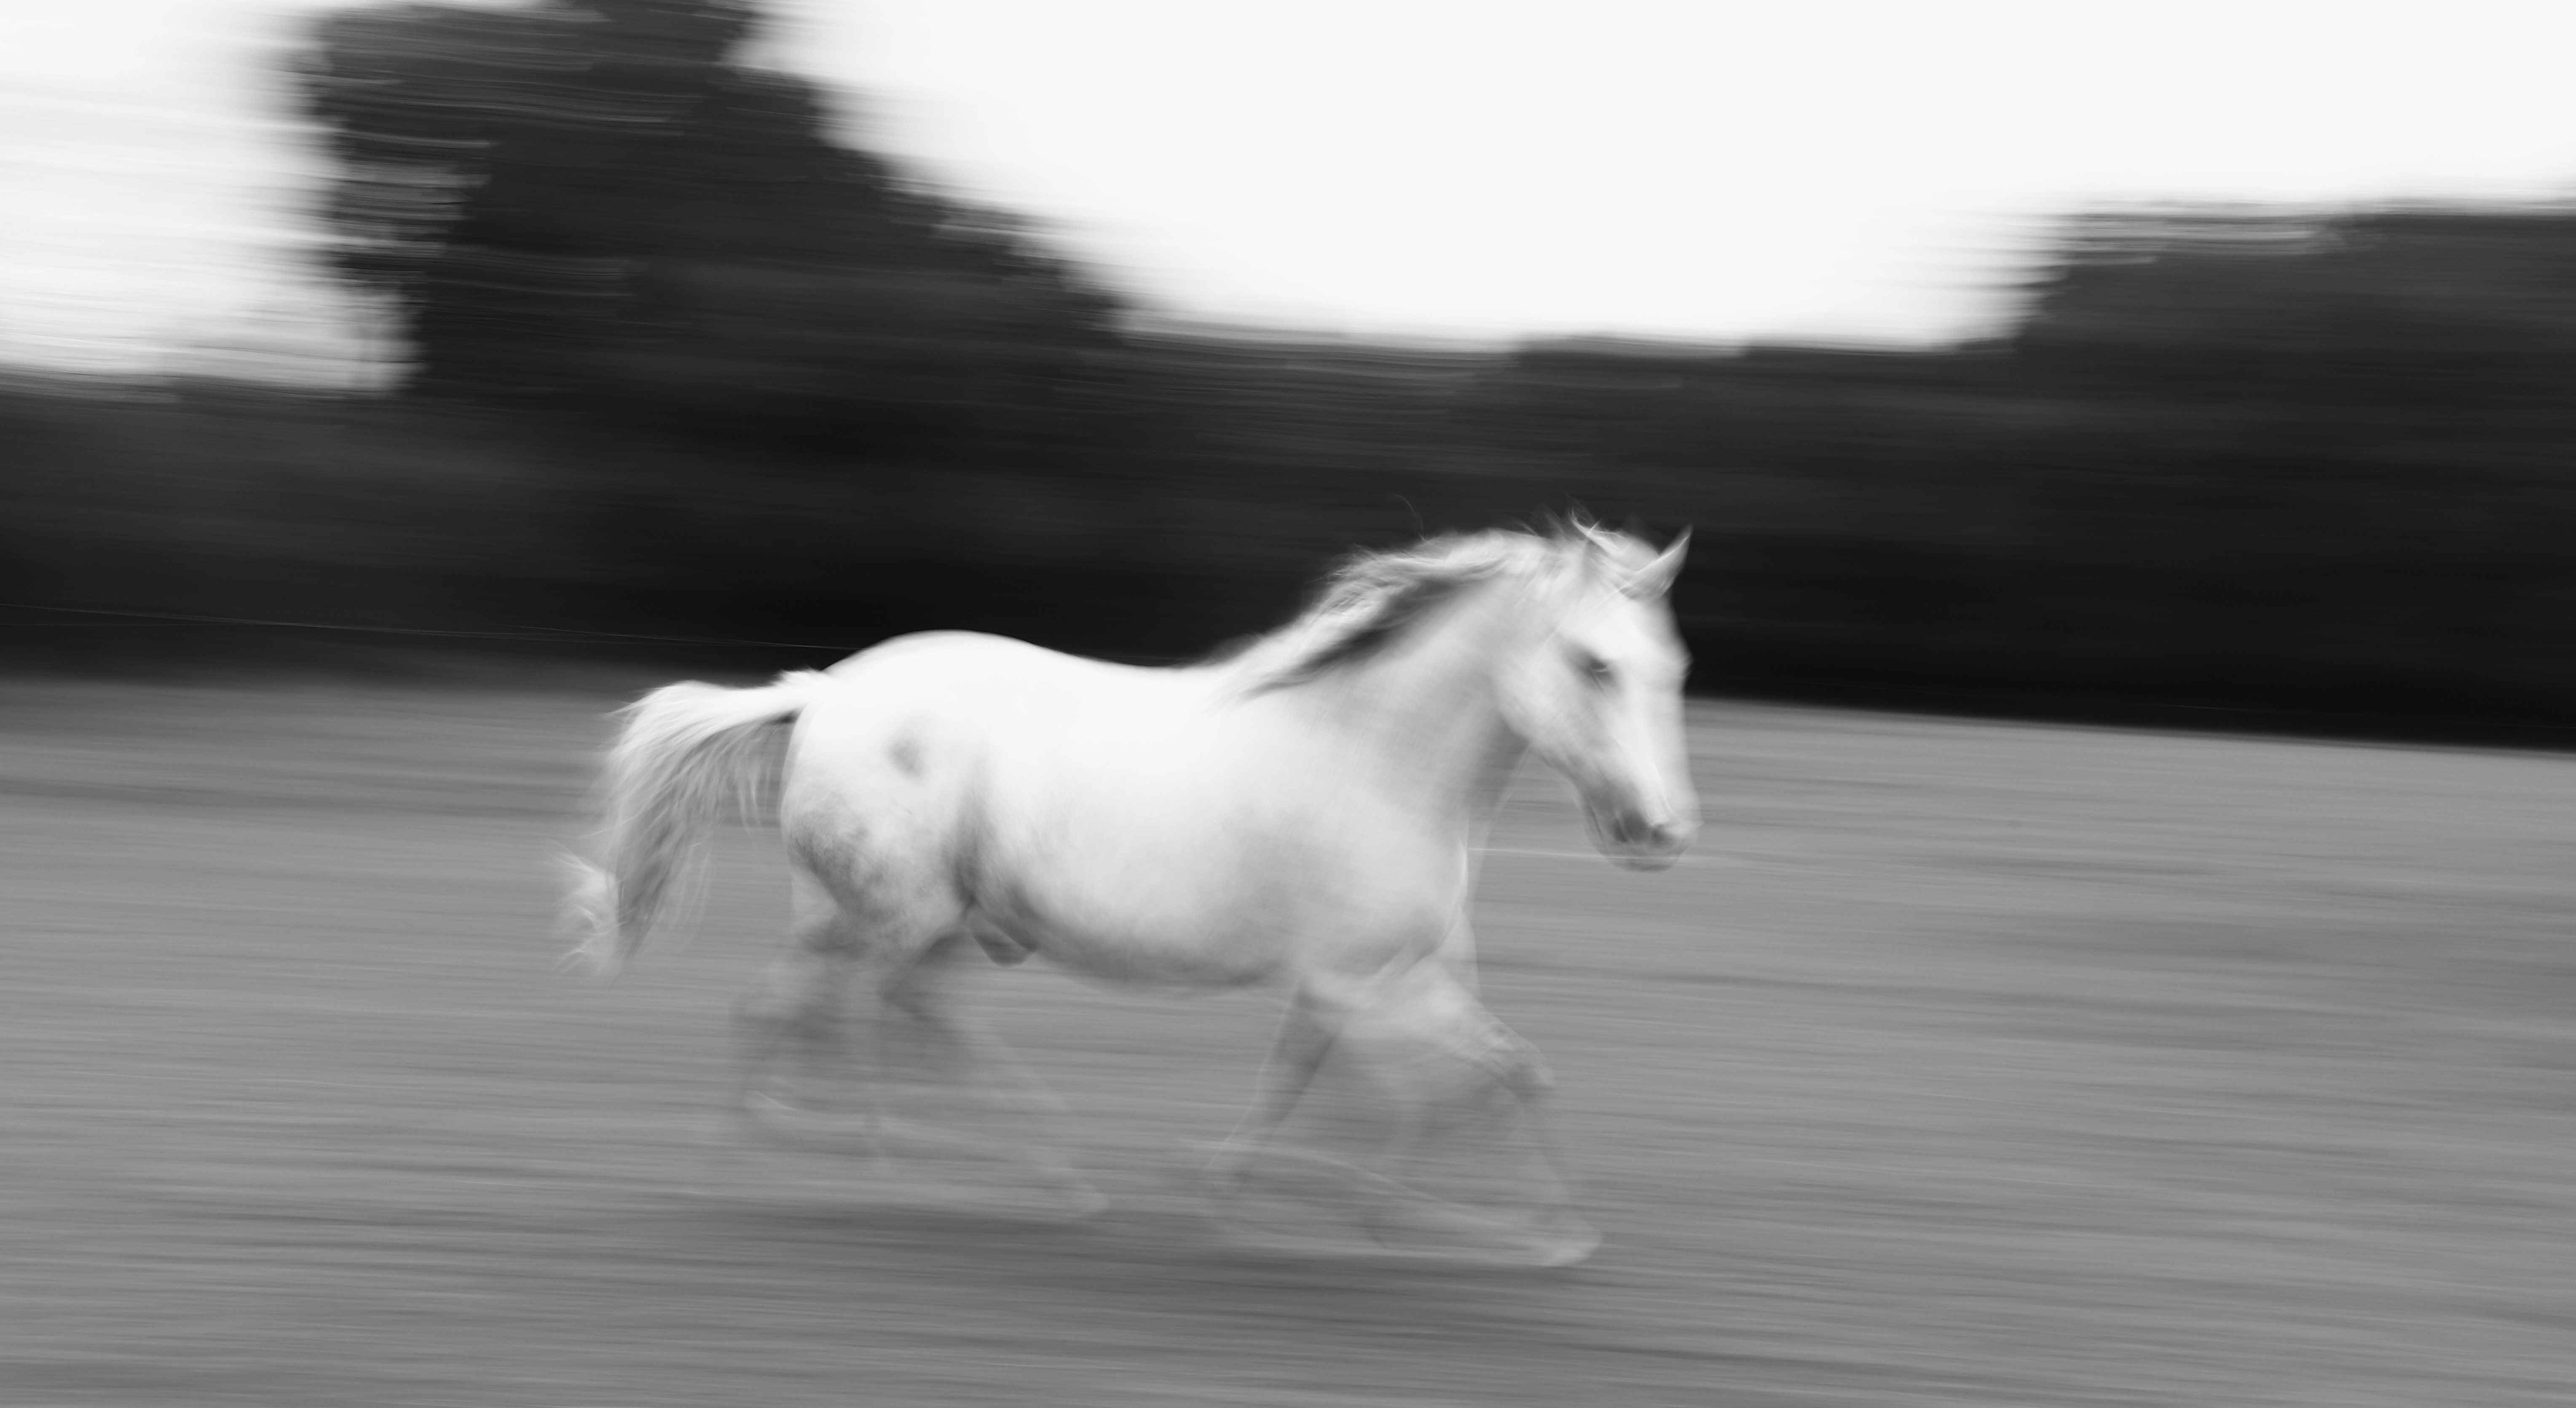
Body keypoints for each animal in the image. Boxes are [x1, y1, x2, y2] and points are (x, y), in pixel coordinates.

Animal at [561, 521, 1697, 1265]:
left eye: (1672, 666)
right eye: (1593, 663)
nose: (1661, 832)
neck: (1374, 762)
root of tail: (823, 693)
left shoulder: (1362, 979)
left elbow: (1328, 1082)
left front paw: (1249, 1193)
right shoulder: (1373, 983)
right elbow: (1491, 1077)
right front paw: (1528, 1234)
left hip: (895, 916)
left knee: (822, 1010)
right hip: (900, 911)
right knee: (851, 1014)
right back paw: (887, 1156)